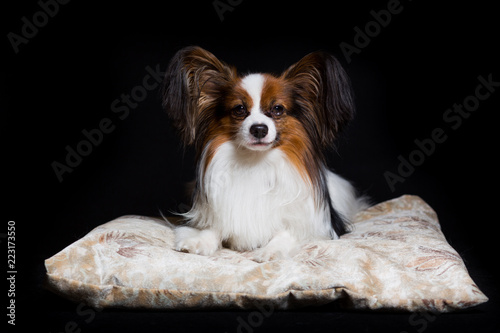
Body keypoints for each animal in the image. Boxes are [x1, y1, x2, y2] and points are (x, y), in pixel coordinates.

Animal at [162, 45, 370, 260]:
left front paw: (271, 250)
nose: (259, 129)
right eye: (239, 109)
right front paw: (199, 241)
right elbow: (213, 228)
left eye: (277, 109)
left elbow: (286, 233)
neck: (255, 162)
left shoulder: (314, 226)